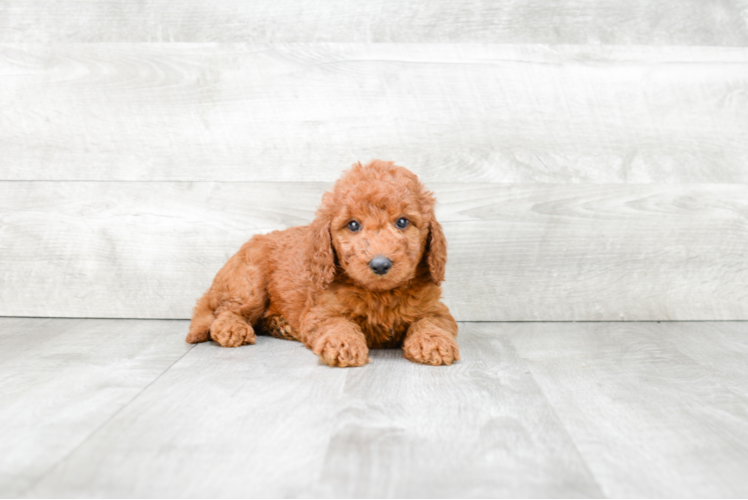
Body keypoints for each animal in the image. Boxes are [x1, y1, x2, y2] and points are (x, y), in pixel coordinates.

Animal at [184, 160, 458, 368]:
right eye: (353, 225)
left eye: (402, 222)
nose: (380, 264)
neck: (381, 295)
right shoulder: (321, 310)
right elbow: (338, 323)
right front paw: (343, 344)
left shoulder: (436, 309)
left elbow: (431, 321)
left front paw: (434, 342)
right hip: (249, 283)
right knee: (226, 310)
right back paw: (232, 329)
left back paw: (281, 326)